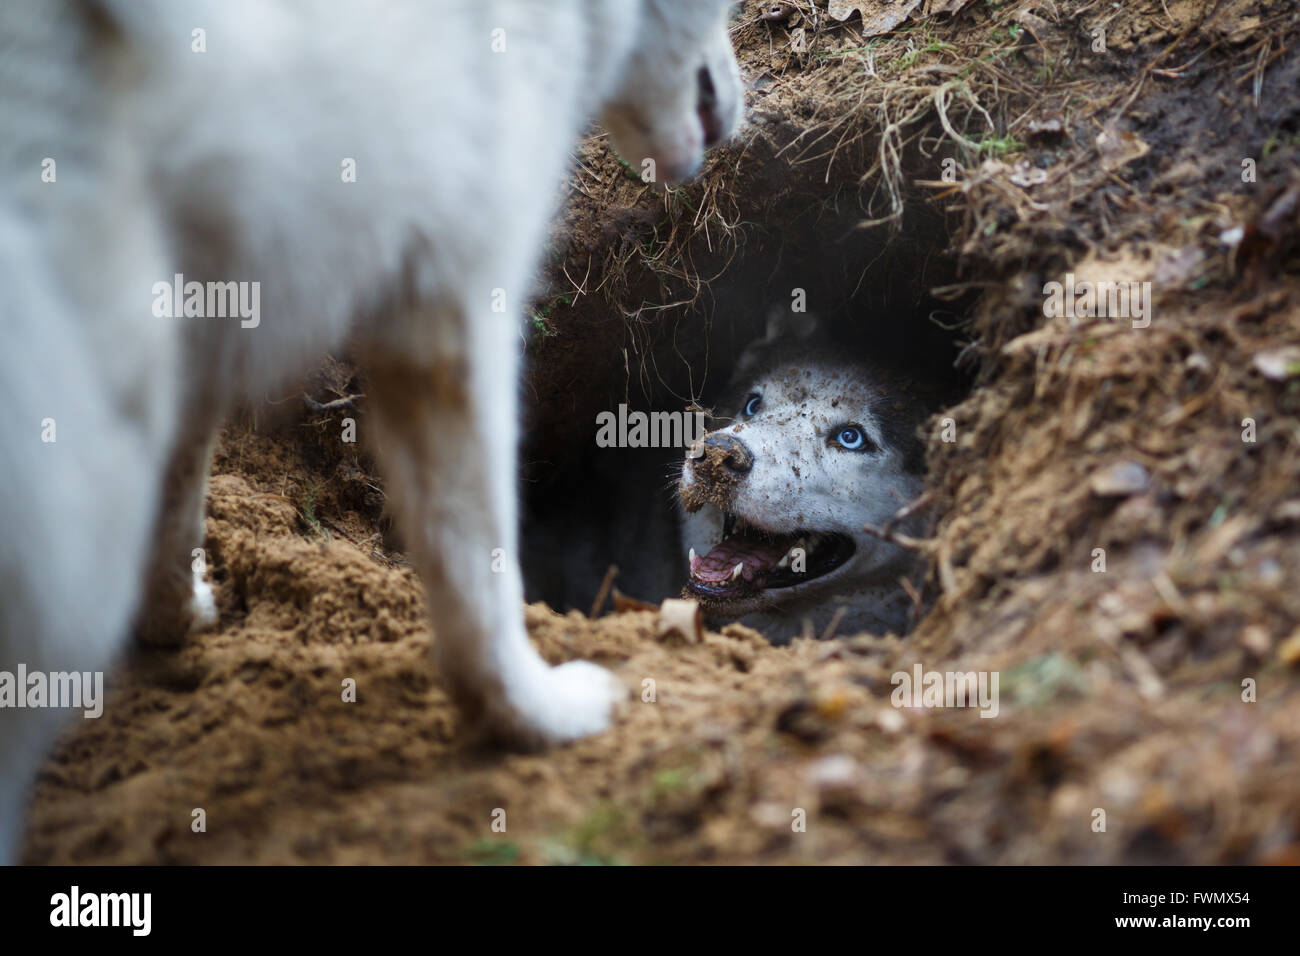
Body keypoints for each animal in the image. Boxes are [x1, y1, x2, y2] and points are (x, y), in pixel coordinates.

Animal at [0, 0, 743, 863]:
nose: (736, 113)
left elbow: (181, 493)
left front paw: (172, 620)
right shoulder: (453, 304)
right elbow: (478, 570)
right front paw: (532, 714)